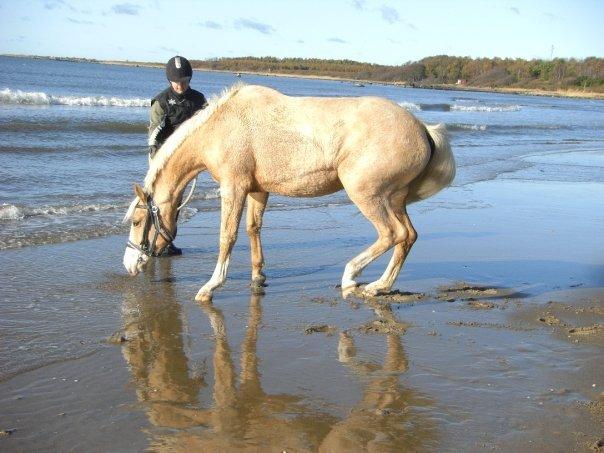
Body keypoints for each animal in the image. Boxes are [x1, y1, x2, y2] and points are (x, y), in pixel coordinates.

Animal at [121, 84, 452, 300]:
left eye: (137, 221)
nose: (129, 265)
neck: (222, 127)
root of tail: (423, 129)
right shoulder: (257, 190)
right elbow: (253, 228)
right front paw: (258, 277)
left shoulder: (233, 187)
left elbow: (227, 237)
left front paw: (210, 287)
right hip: (394, 199)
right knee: (408, 237)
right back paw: (380, 285)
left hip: (367, 195)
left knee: (392, 234)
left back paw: (352, 279)